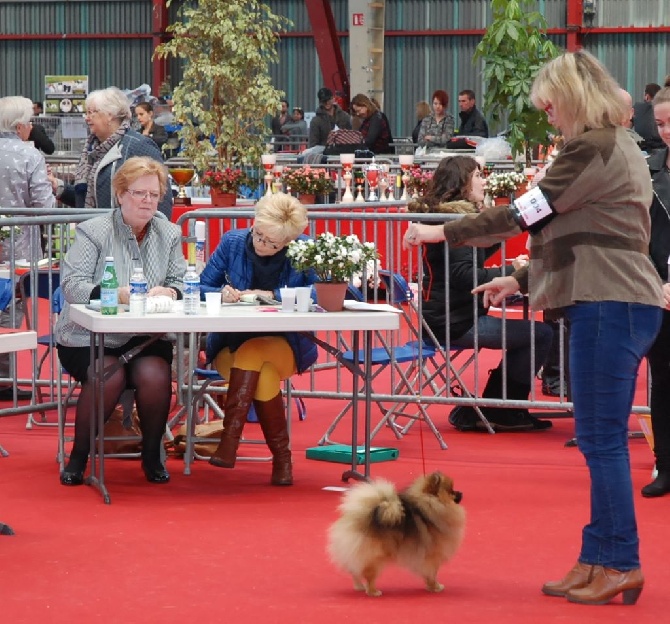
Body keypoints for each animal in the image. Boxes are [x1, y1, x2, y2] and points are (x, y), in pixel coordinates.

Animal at [326, 470, 464, 596]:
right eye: (451, 491)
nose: (461, 492)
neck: (434, 505)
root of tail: (359, 517)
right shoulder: (432, 556)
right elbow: (432, 573)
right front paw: (435, 587)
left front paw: (431, 586)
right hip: (375, 556)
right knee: (369, 574)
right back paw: (373, 591)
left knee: (355, 570)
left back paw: (359, 586)